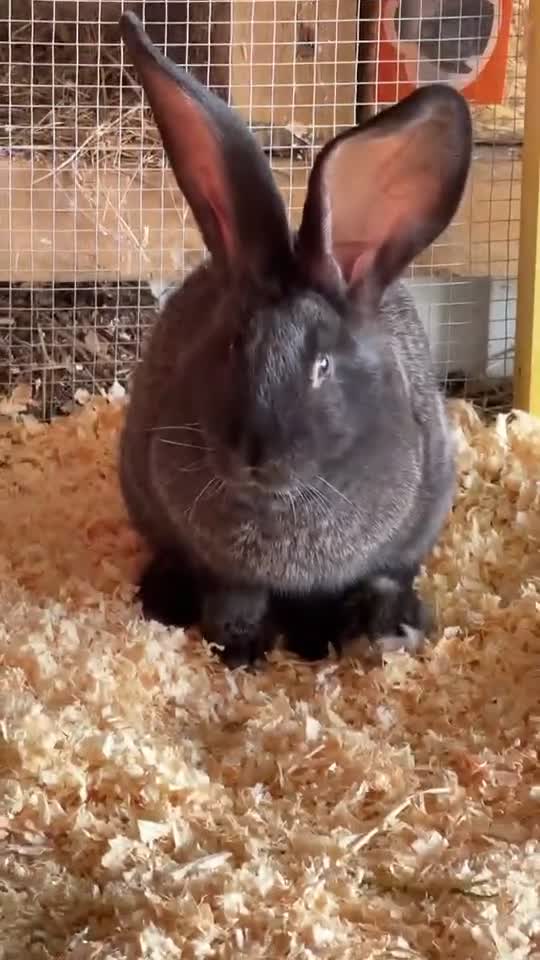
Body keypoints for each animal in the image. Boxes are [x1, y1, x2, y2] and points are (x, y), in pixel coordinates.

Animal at [118, 10, 472, 668]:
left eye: (323, 366)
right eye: (236, 345)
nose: (255, 456)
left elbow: (326, 600)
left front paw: (314, 644)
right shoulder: (226, 571)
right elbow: (233, 601)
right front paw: (239, 649)